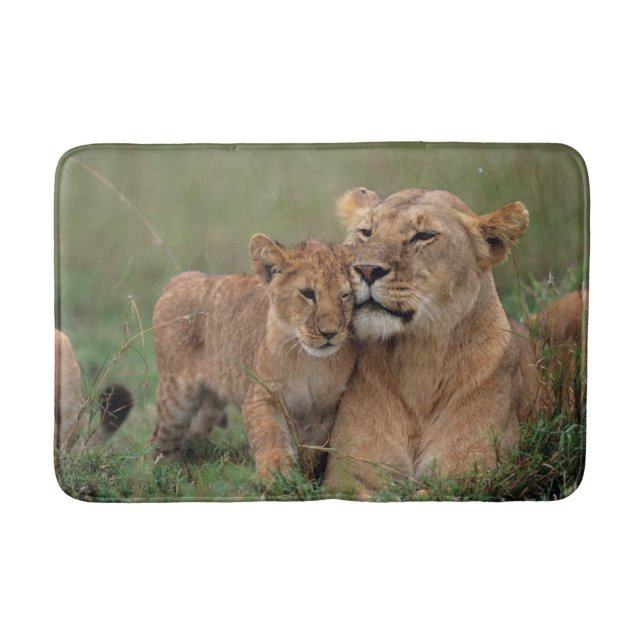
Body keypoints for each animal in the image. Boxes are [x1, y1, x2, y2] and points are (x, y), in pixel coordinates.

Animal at [150, 235, 356, 482]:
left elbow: (313, 450)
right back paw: (156, 472)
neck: (310, 361)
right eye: (308, 293)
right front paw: (276, 472)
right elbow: (270, 434)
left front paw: (305, 476)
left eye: (345, 295)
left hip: (209, 406)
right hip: (176, 400)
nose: (329, 333)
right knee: (159, 440)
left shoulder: (325, 410)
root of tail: (179, 279)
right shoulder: (262, 396)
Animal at [323, 187, 584, 497]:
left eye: (423, 236)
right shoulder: (348, 475)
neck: (418, 357)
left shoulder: (472, 471)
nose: (365, 269)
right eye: (366, 232)